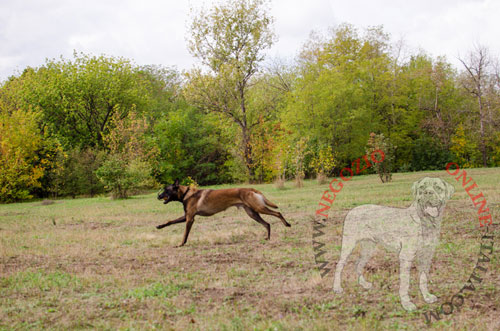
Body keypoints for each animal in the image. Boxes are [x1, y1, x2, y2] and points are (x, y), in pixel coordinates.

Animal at [155, 180, 290, 248]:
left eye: (166, 190)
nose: (158, 196)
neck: (186, 193)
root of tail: (251, 189)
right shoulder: (186, 216)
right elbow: (170, 221)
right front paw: (160, 226)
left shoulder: (190, 219)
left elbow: (185, 234)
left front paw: (181, 244)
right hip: (252, 213)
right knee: (267, 224)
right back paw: (268, 237)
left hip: (259, 208)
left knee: (278, 213)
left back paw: (287, 224)